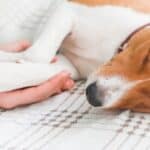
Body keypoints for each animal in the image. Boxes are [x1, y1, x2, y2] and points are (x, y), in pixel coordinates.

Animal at [0, 0, 149, 111]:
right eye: (146, 57)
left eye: (147, 96)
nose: (93, 96)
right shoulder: (68, 10)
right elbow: (37, 55)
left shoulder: (69, 66)